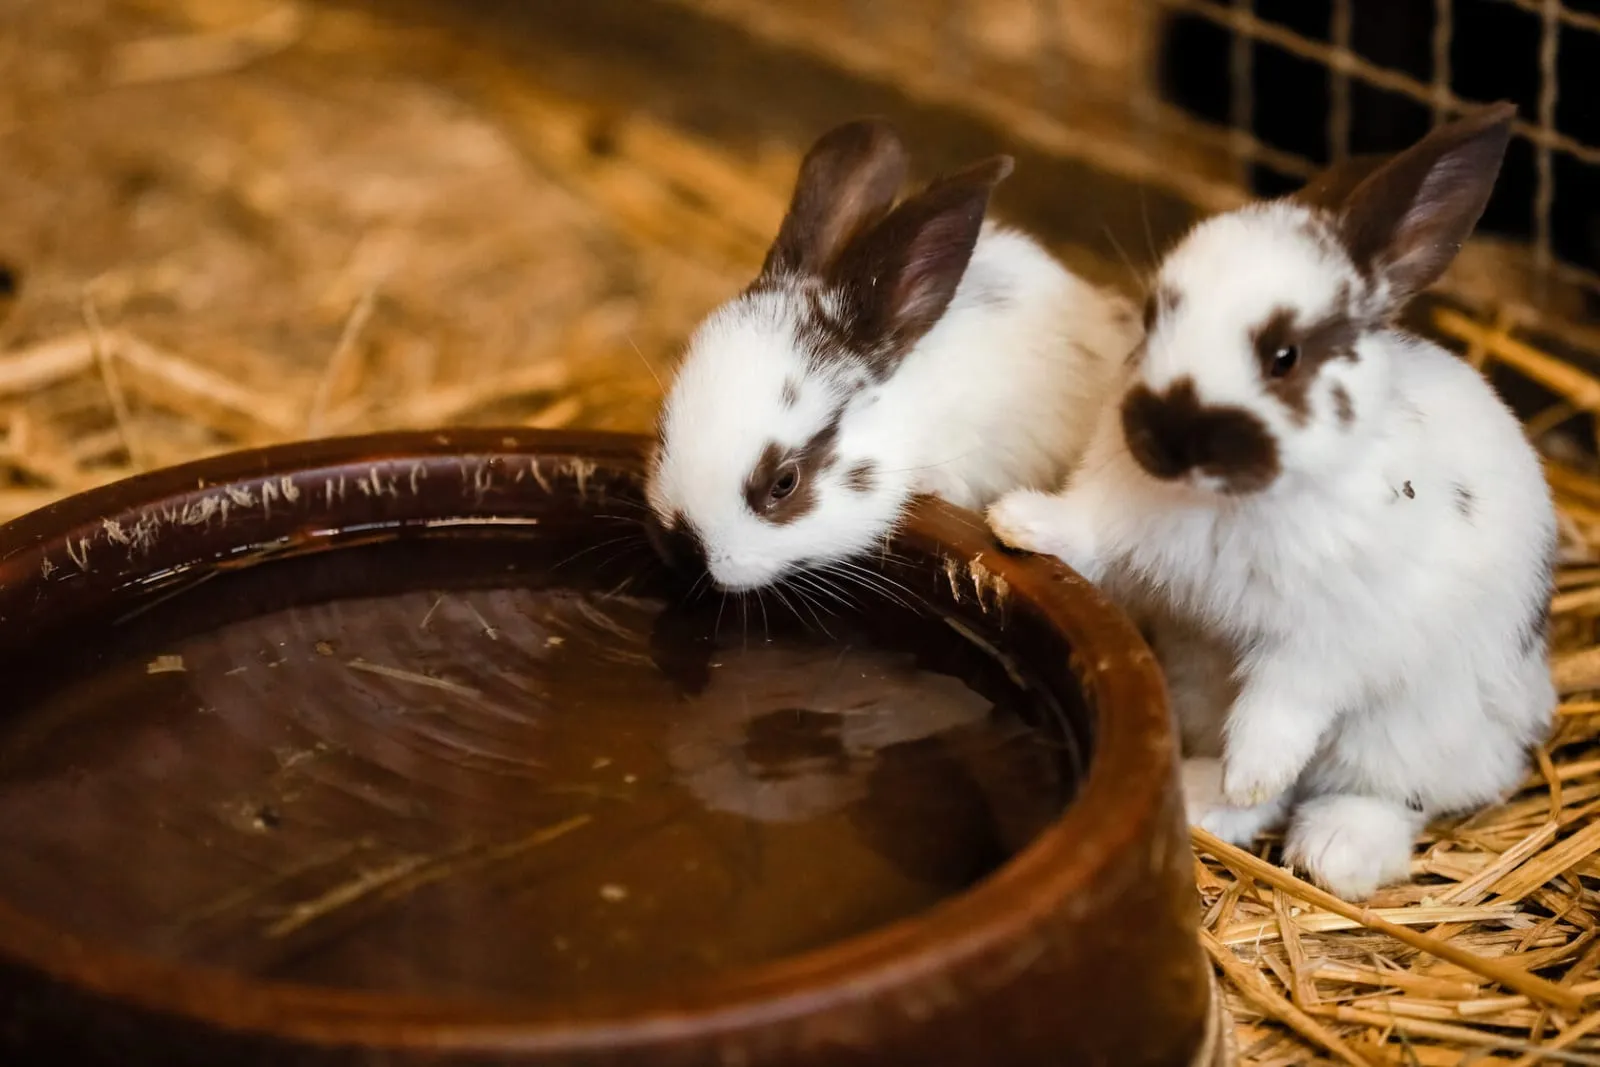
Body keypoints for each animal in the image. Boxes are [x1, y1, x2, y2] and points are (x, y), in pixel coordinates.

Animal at [987, 102, 1558, 901]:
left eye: (1284, 355)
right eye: (1154, 317)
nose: (1166, 440)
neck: (1222, 503)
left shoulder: (1323, 644)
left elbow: (1282, 713)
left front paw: (1252, 772)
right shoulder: (1121, 525)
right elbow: (1084, 533)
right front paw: (1017, 521)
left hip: (1411, 734)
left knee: (1383, 795)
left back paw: (1334, 849)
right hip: (1200, 690)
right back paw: (1202, 797)